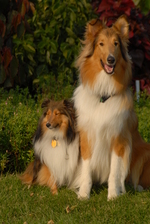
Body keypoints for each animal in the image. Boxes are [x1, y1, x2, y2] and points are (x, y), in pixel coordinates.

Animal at [73, 15, 150, 200]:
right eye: (101, 44)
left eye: (115, 44)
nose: (111, 60)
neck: (104, 93)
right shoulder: (87, 136)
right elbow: (86, 169)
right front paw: (84, 194)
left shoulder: (119, 139)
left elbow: (114, 172)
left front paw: (114, 195)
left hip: (145, 151)